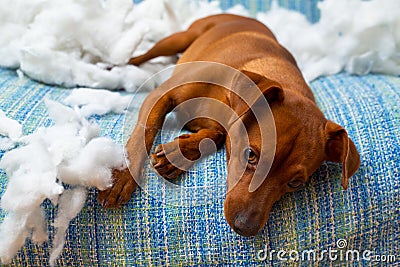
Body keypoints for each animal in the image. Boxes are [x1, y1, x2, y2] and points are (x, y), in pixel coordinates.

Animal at [98, 14, 360, 237]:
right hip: (178, 38)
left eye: (295, 183)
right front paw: (121, 177)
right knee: (139, 57)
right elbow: (145, 132)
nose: (245, 227)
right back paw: (113, 68)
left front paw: (179, 154)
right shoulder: (160, 96)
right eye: (251, 155)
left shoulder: (222, 127)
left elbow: (215, 137)